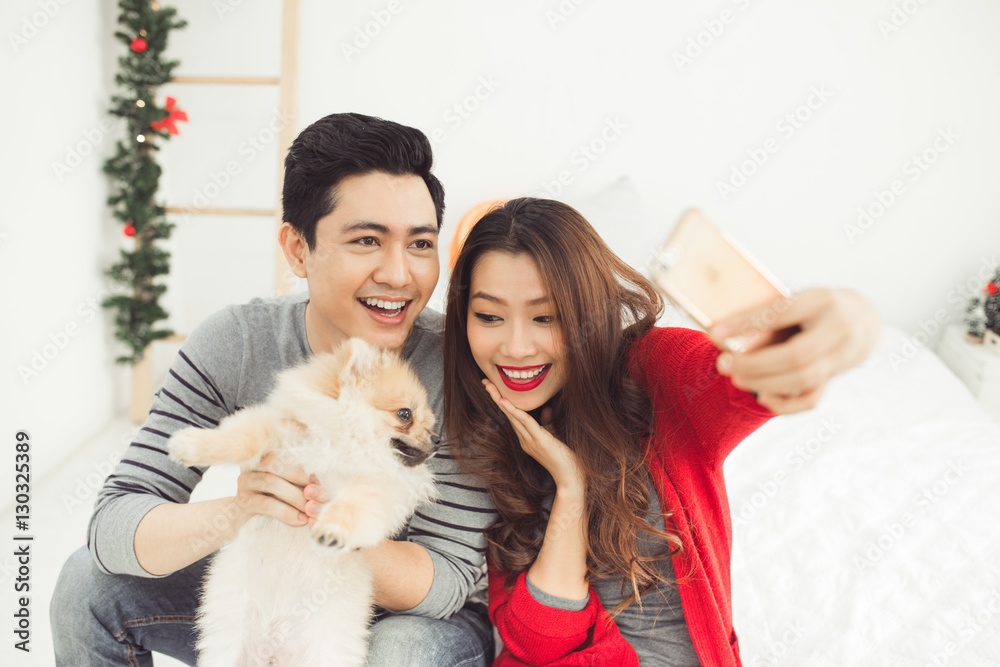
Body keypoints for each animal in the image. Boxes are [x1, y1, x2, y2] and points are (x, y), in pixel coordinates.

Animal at [167, 340, 438, 667]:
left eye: (429, 421)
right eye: (405, 414)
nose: (437, 440)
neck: (346, 445)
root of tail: (273, 647)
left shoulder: (377, 488)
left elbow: (353, 504)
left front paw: (332, 531)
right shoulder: (280, 435)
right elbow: (243, 439)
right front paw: (192, 446)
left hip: (327, 652)